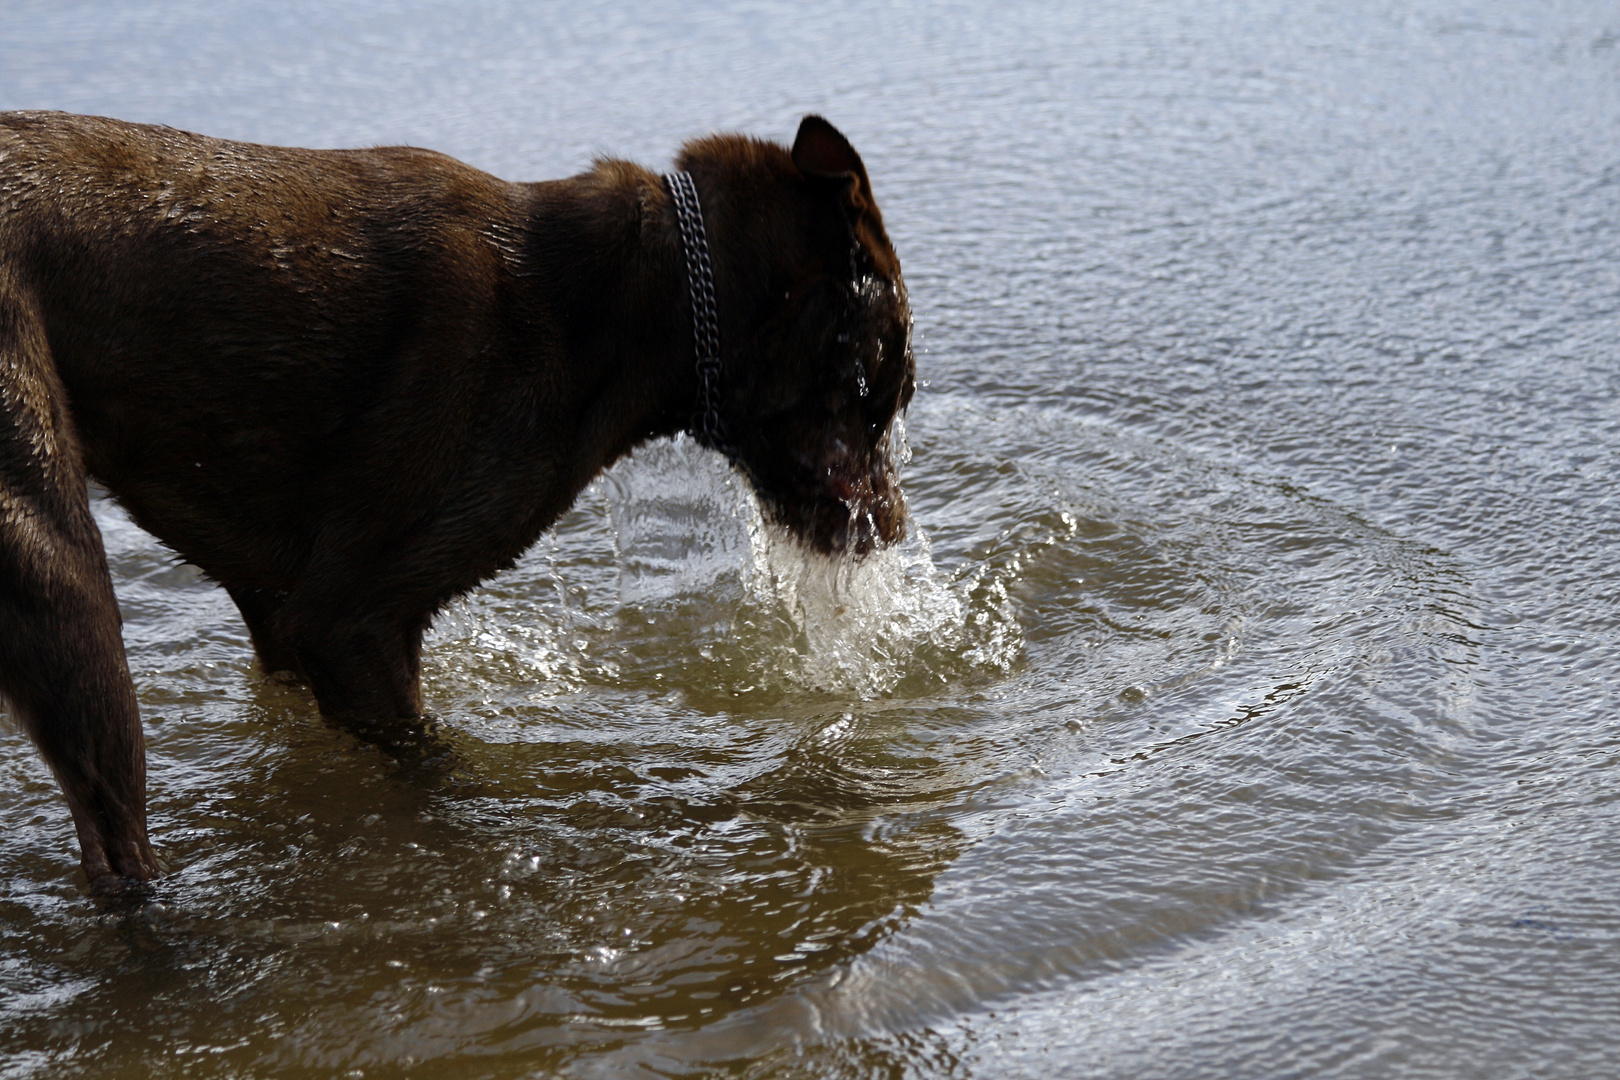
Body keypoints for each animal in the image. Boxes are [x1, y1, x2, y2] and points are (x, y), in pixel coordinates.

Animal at [0, 114, 913, 893]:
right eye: (892, 387)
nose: (895, 526)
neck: (632, 302)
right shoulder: (348, 622)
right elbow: (439, 777)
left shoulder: (280, 619)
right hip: (57, 571)